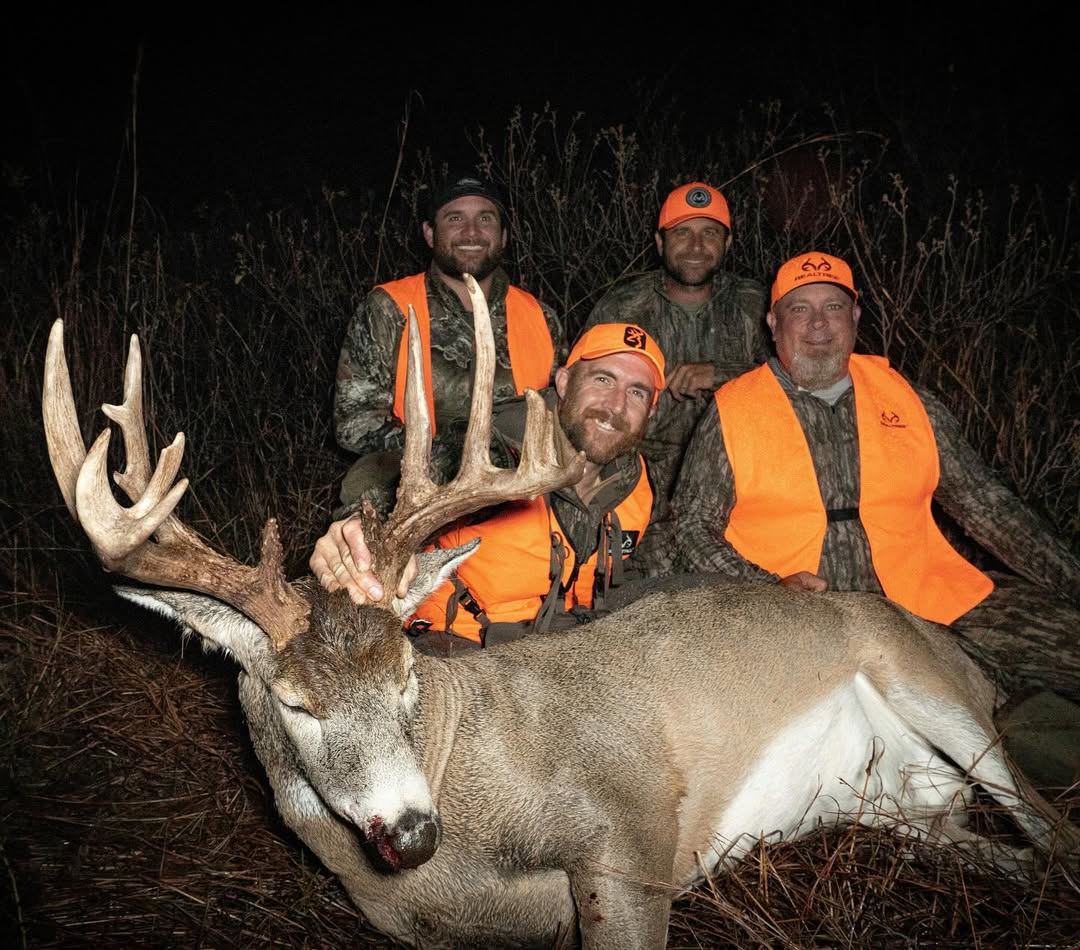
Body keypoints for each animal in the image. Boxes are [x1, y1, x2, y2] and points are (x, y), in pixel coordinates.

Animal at [43, 277, 1080, 950]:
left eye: (407, 671)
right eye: (294, 700)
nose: (411, 832)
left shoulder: (632, 826)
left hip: (930, 684)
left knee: (1052, 831)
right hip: (903, 808)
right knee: (999, 846)